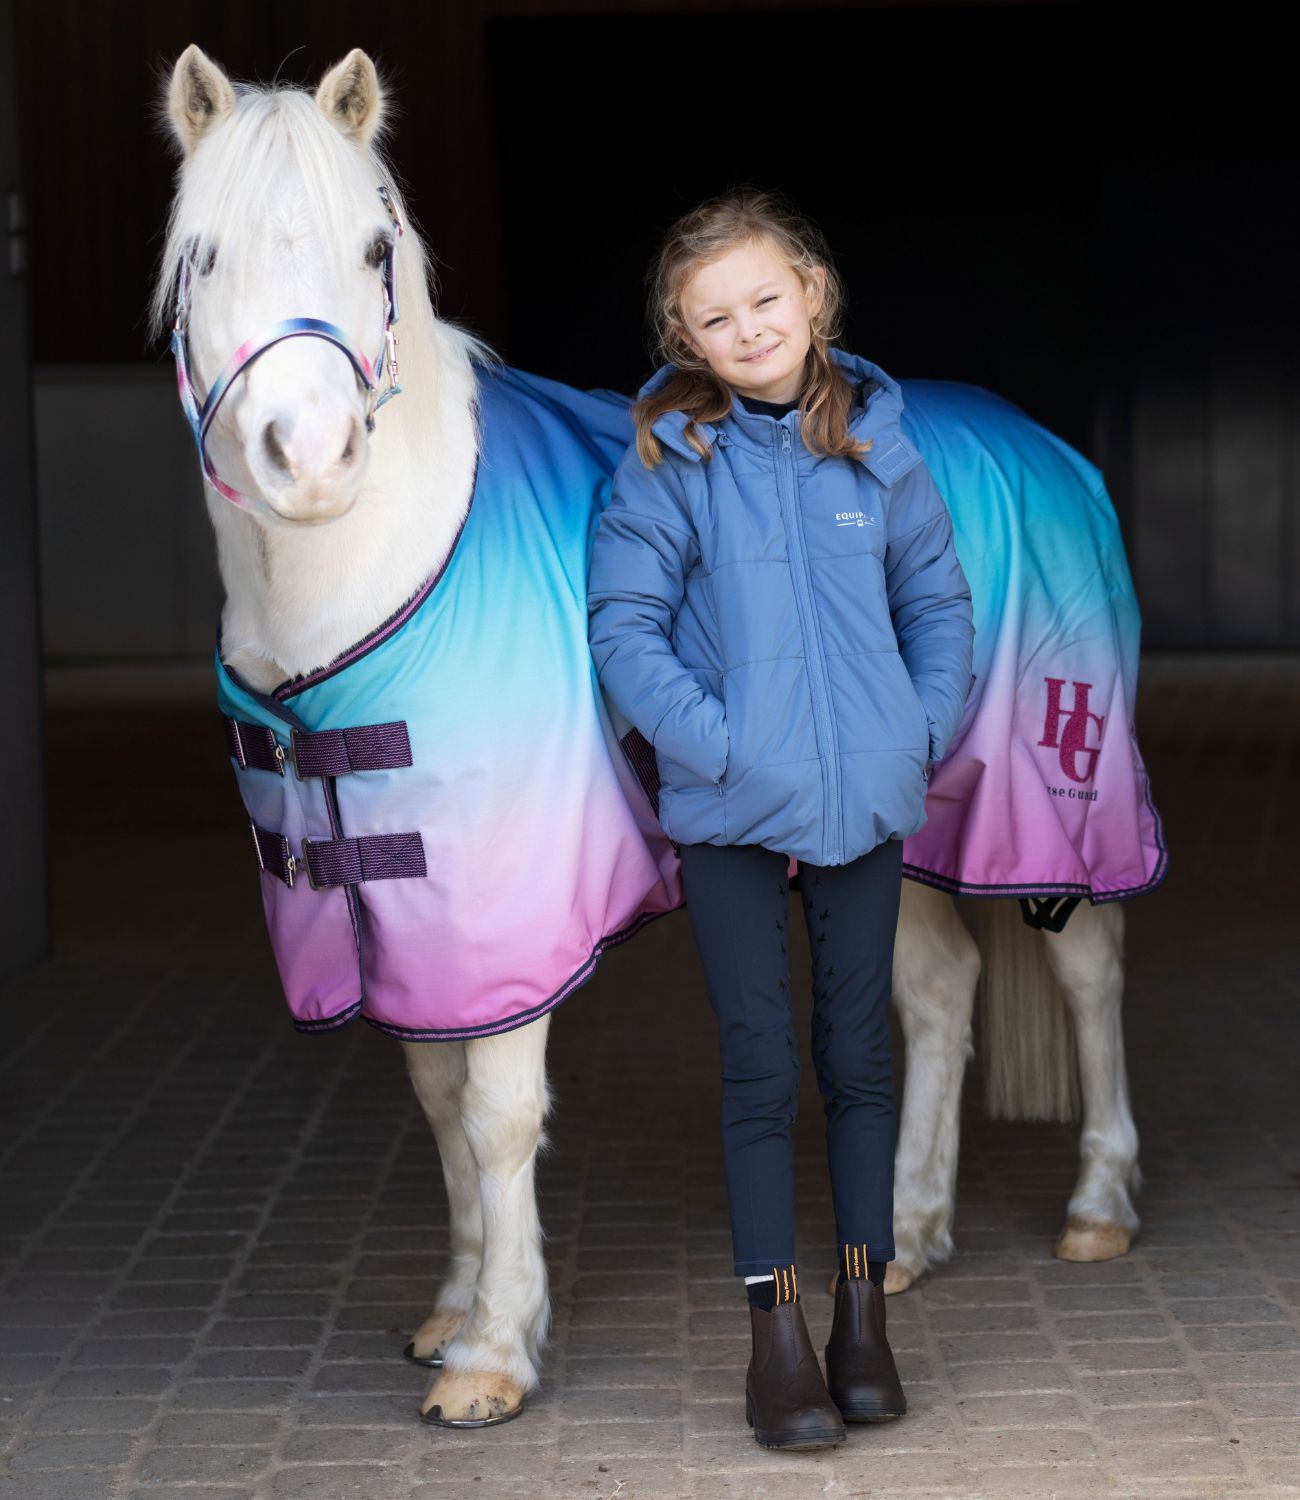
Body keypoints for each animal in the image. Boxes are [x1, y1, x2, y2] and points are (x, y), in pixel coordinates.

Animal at [156, 44, 1163, 1427]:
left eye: (374, 248)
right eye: (204, 256)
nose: (310, 459)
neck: (382, 566)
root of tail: (1052, 448)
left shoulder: (508, 904)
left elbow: (497, 1113)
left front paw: (495, 1350)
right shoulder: (413, 912)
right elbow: (437, 1096)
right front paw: (454, 1303)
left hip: (1053, 800)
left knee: (1090, 969)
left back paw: (1097, 1204)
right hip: (891, 837)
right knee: (936, 992)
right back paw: (906, 1231)